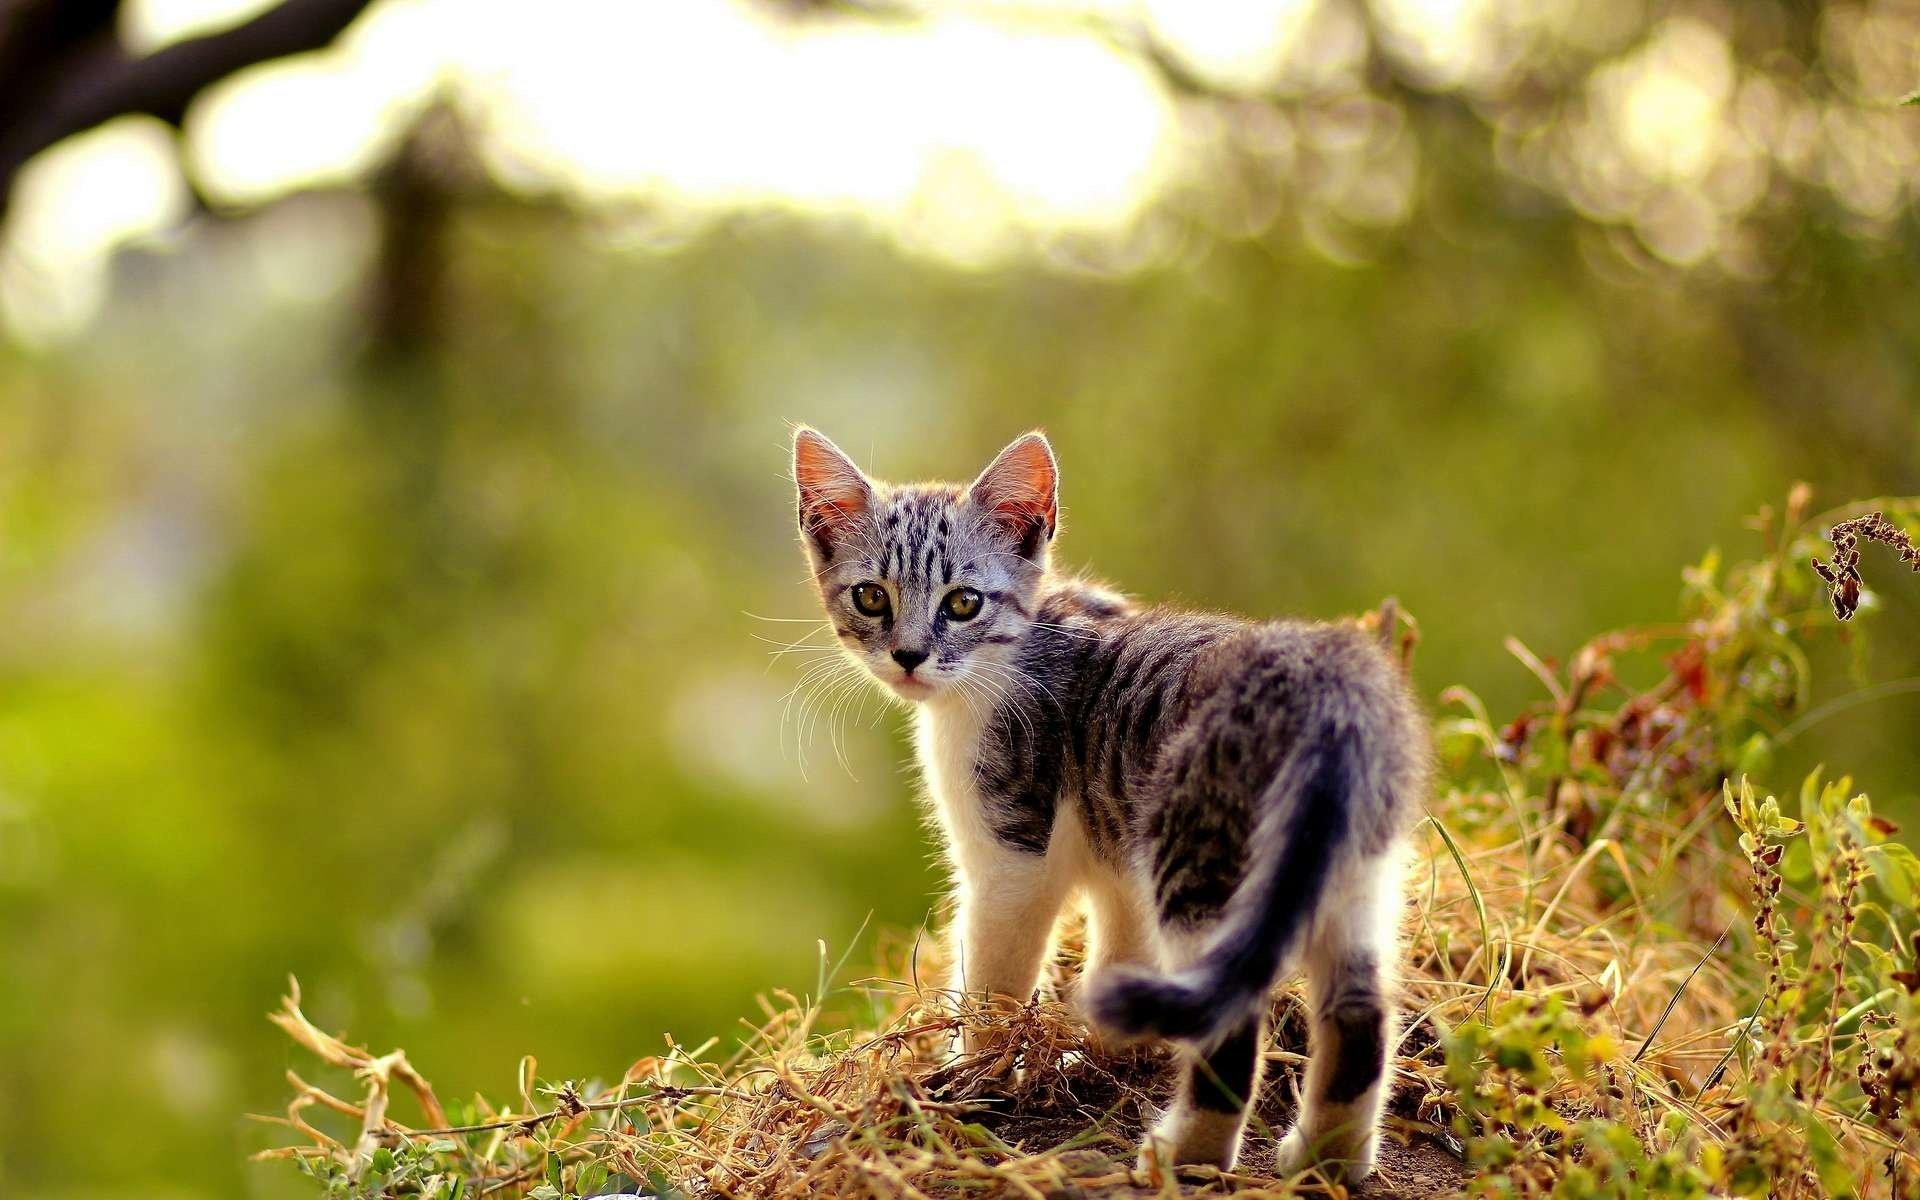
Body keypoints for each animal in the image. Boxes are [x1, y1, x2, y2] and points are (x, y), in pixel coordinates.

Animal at [787, 424, 1436, 1182]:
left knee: (1232, 1020)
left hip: (1201, 851)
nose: (910, 655)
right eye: (870, 598)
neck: (1022, 641)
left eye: (963, 603)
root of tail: (1330, 687)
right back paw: (1326, 1159)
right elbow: (1124, 952)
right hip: (1358, 868)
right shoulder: (1118, 849)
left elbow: (995, 978)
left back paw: (1186, 1155)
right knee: (1360, 1010)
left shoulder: (1013, 847)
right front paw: (1105, 1045)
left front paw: (974, 1073)